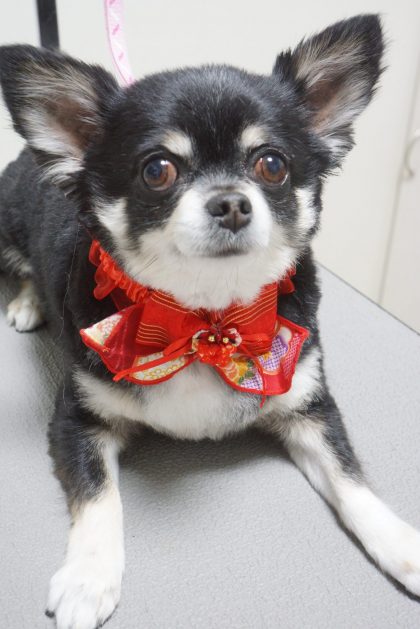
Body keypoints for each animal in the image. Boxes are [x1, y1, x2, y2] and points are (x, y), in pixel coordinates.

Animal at [0, 13, 419, 629]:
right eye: (157, 170)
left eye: (272, 164)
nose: (231, 202)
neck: (204, 318)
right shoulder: (78, 421)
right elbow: (99, 498)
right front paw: (87, 578)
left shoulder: (308, 408)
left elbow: (351, 479)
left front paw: (401, 544)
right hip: (7, 225)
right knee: (24, 269)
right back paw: (29, 304)